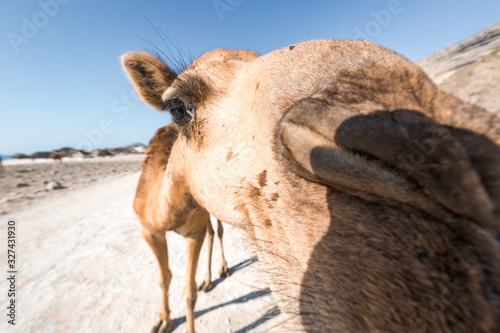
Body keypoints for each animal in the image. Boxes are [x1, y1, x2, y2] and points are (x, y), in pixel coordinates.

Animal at [130, 124, 229, 332]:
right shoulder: (150, 232)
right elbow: (164, 278)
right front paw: (163, 321)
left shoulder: (193, 232)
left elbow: (189, 292)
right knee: (212, 232)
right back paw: (207, 281)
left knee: (218, 231)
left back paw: (223, 268)